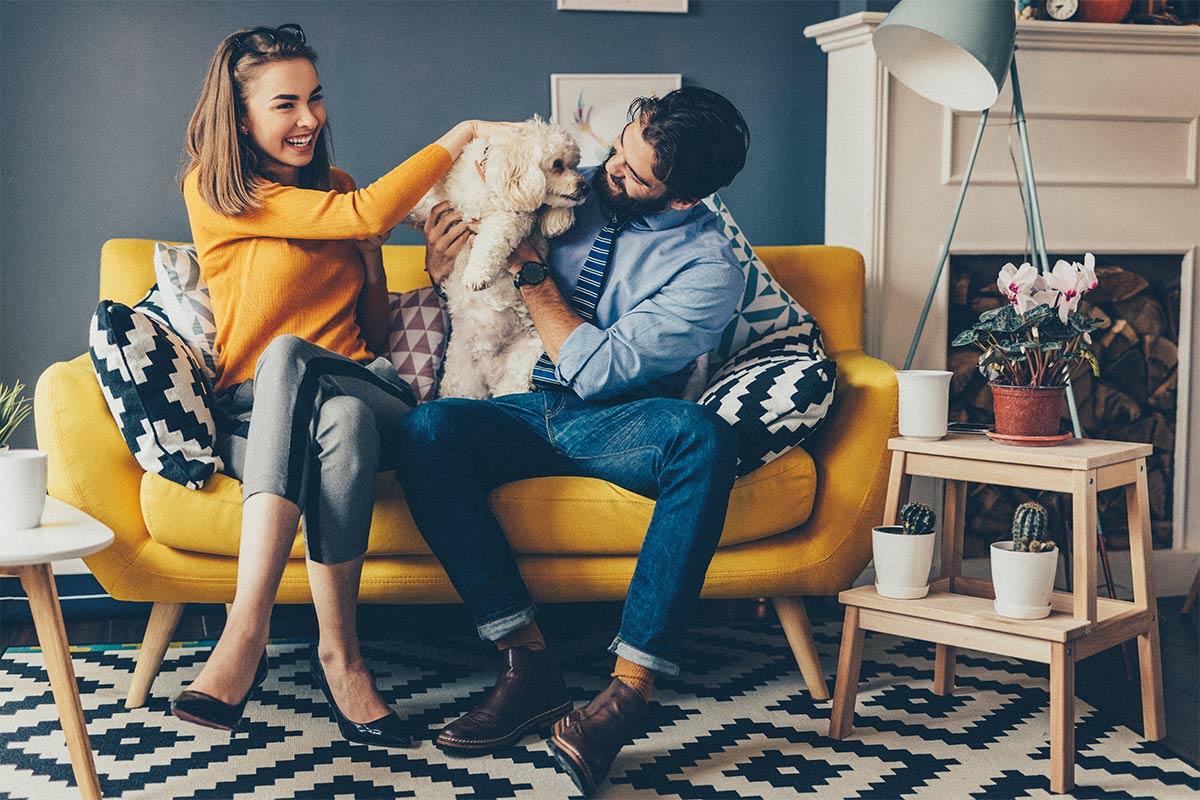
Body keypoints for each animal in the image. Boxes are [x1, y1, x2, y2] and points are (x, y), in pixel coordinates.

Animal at [405, 118, 588, 400]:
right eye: (559, 164)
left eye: (575, 164)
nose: (585, 186)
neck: (492, 184)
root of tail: (489, 372)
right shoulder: (442, 202)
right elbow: (420, 202)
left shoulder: (513, 217)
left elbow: (492, 238)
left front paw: (476, 274)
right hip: (461, 382)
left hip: (521, 366)